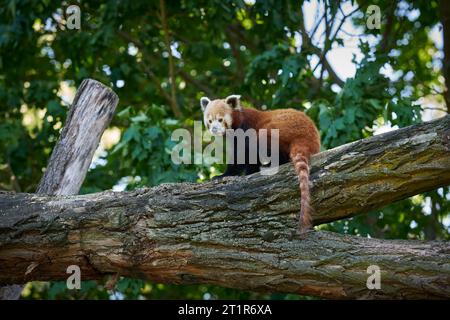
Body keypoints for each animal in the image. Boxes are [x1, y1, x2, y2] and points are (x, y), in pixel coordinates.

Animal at [200, 94, 320, 231]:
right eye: (210, 121)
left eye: (220, 120)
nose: (214, 129)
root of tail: (307, 137)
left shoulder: (245, 131)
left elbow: (243, 156)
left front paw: (225, 175)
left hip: (277, 129)